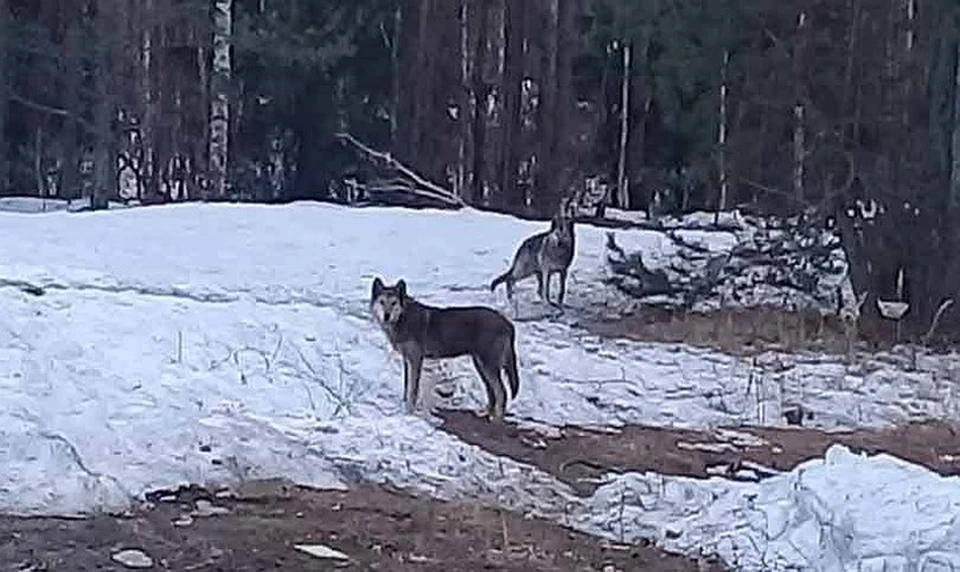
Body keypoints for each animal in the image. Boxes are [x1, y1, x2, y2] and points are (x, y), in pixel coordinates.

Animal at [370, 278, 520, 420]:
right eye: (382, 302)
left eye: (394, 303)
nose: (386, 316)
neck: (403, 318)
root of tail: (508, 323)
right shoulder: (407, 361)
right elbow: (406, 388)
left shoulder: (416, 360)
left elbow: (413, 390)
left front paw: (409, 413)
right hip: (481, 364)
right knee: (491, 391)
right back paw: (486, 413)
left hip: (488, 365)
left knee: (501, 393)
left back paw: (497, 420)